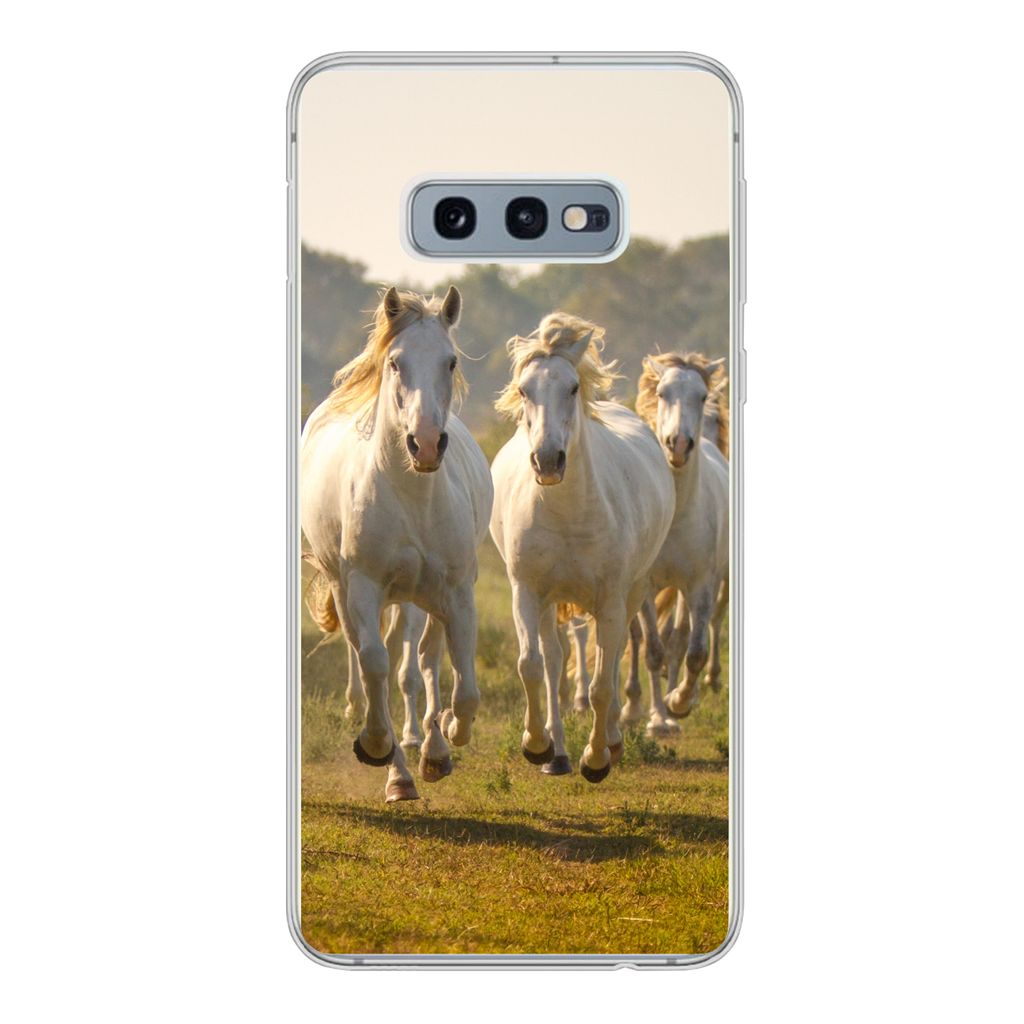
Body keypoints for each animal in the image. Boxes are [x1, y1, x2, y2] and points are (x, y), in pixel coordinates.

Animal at [301, 286, 493, 803]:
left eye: (450, 360)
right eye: (395, 362)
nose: (424, 444)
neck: (412, 496)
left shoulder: (457, 593)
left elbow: (463, 686)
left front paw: (447, 738)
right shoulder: (364, 588)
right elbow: (374, 665)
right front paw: (377, 748)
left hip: (421, 598)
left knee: (423, 659)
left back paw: (432, 750)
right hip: (351, 589)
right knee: (373, 659)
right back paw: (400, 770)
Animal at [489, 313, 674, 781]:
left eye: (572, 388)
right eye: (524, 390)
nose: (548, 461)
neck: (568, 515)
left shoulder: (610, 601)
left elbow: (602, 685)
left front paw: (596, 759)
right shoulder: (526, 592)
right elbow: (532, 666)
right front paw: (536, 745)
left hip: (633, 592)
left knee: (618, 653)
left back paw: (611, 741)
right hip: (551, 602)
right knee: (554, 663)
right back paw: (556, 755)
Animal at [630, 352, 729, 721]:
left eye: (701, 397)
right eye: (662, 393)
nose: (679, 444)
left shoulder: (700, 585)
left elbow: (692, 649)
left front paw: (678, 704)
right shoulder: (644, 585)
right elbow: (652, 648)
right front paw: (657, 719)